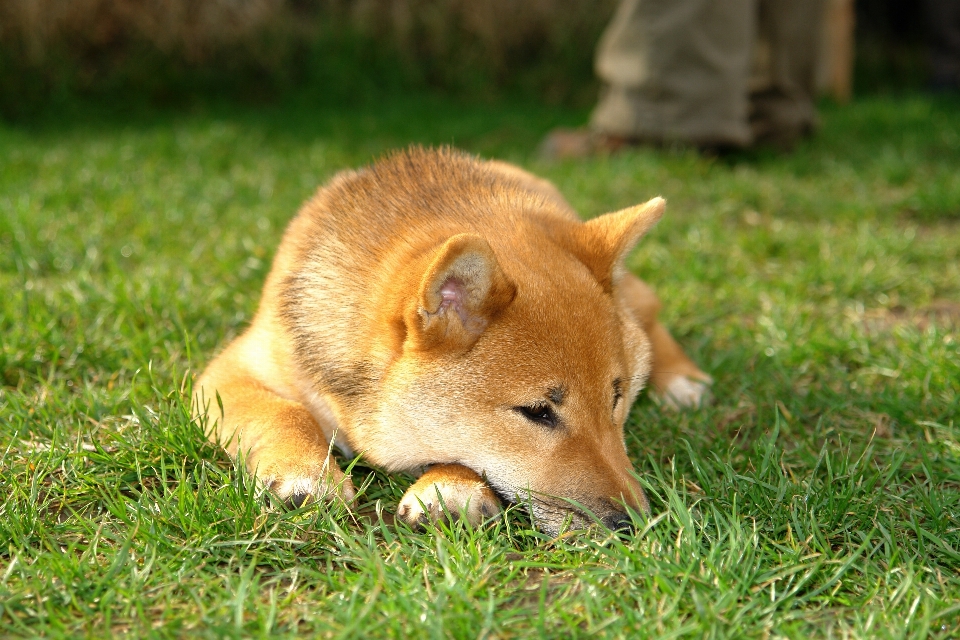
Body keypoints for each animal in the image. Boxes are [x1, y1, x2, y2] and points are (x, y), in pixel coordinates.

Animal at [195, 148, 708, 532]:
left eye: (616, 398)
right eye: (537, 412)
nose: (632, 525)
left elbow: (460, 447)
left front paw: (451, 486)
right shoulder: (226, 375)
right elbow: (284, 412)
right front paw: (304, 472)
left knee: (649, 306)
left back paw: (682, 380)